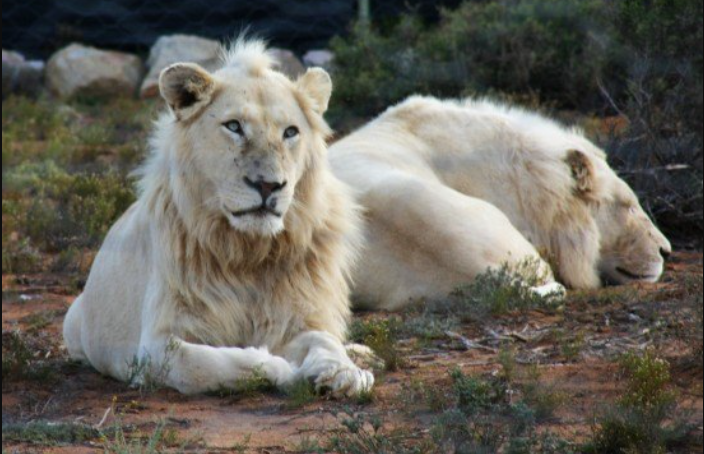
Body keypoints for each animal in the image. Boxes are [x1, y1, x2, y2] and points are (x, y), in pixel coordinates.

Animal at [63, 40, 376, 400]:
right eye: (234, 126)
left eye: (290, 132)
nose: (268, 185)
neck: (249, 252)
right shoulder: (155, 346)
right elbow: (216, 364)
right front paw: (284, 369)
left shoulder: (295, 318)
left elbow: (324, 340)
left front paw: (345, 373)